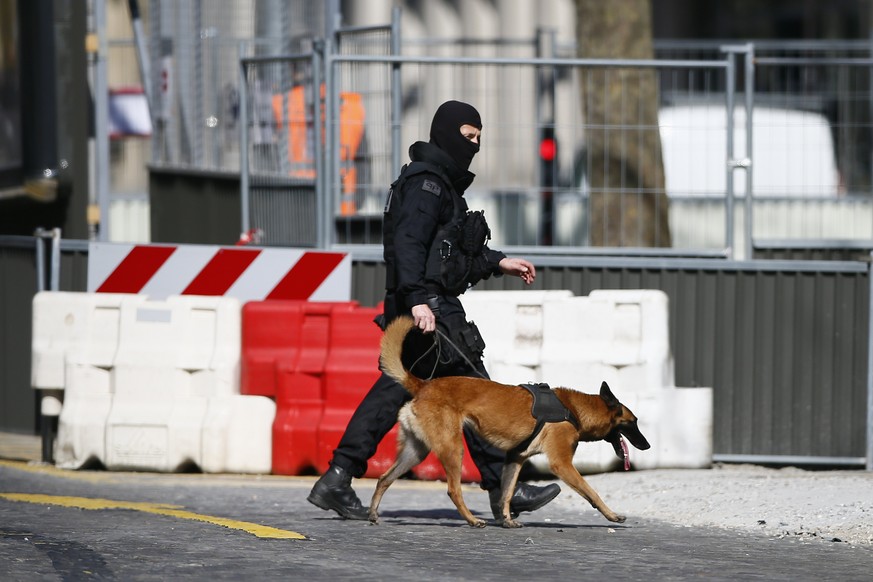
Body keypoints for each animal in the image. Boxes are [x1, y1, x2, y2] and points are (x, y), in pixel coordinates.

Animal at [366, 318, 648, 532]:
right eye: (633, 423)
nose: (647, 445)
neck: (573, 409)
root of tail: (423, 385)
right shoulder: (562, 463)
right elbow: (592, 491)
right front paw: (612, 515)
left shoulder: (515, 458)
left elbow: (506, 493)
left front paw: (507, 520)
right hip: (453, 448)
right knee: (453, 490)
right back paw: (472, 520)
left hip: (416, 451)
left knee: (384, 478)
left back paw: (372, 514)